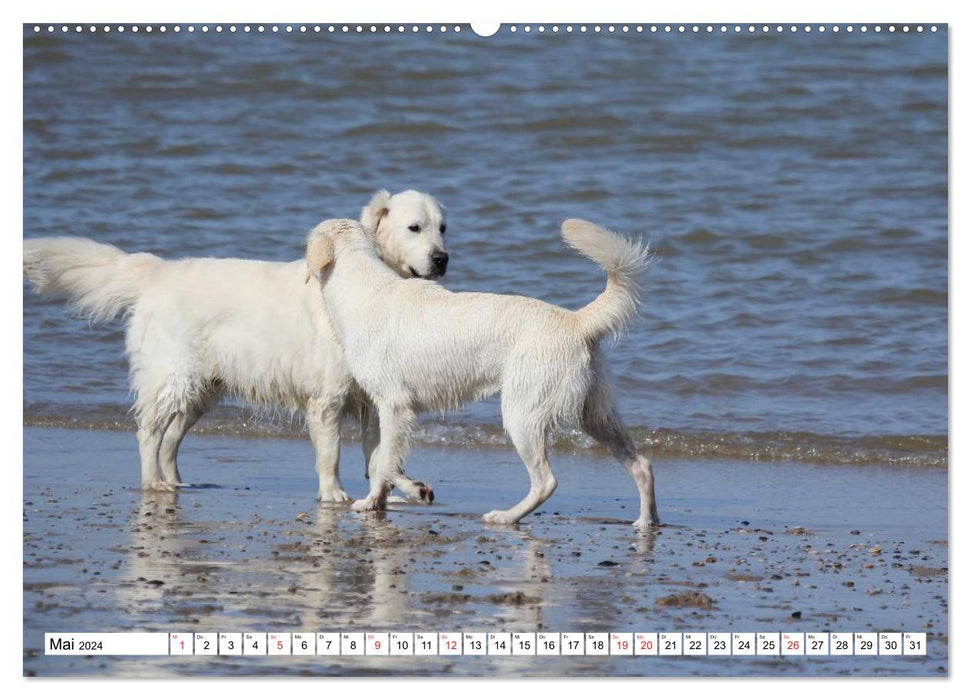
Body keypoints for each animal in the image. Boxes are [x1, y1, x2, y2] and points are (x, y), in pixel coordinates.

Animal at [22, 189, 448, 500]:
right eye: (414, 228)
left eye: (443, 227)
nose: (442, 258)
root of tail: (158, 271)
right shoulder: (326, 397)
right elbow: (331, 453)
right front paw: (334, 495)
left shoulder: (370, 398)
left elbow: (381, 454)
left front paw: (397, 491)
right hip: (173, 376)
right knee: (149, 432)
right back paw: (153, 483)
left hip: (202, 390)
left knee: (171, 438)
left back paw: (175, 481)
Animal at [308, 216, 660, 528]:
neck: (362, 286)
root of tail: (577, 321)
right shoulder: (383, 409)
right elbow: (382, 462)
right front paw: (376, 503)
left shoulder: (395, 406)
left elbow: (385, 463)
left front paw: (409, 492)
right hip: (596, 414)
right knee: (641, 465)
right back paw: (646, 522)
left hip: (522, 414)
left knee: (546, 482)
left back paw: (505, 517)